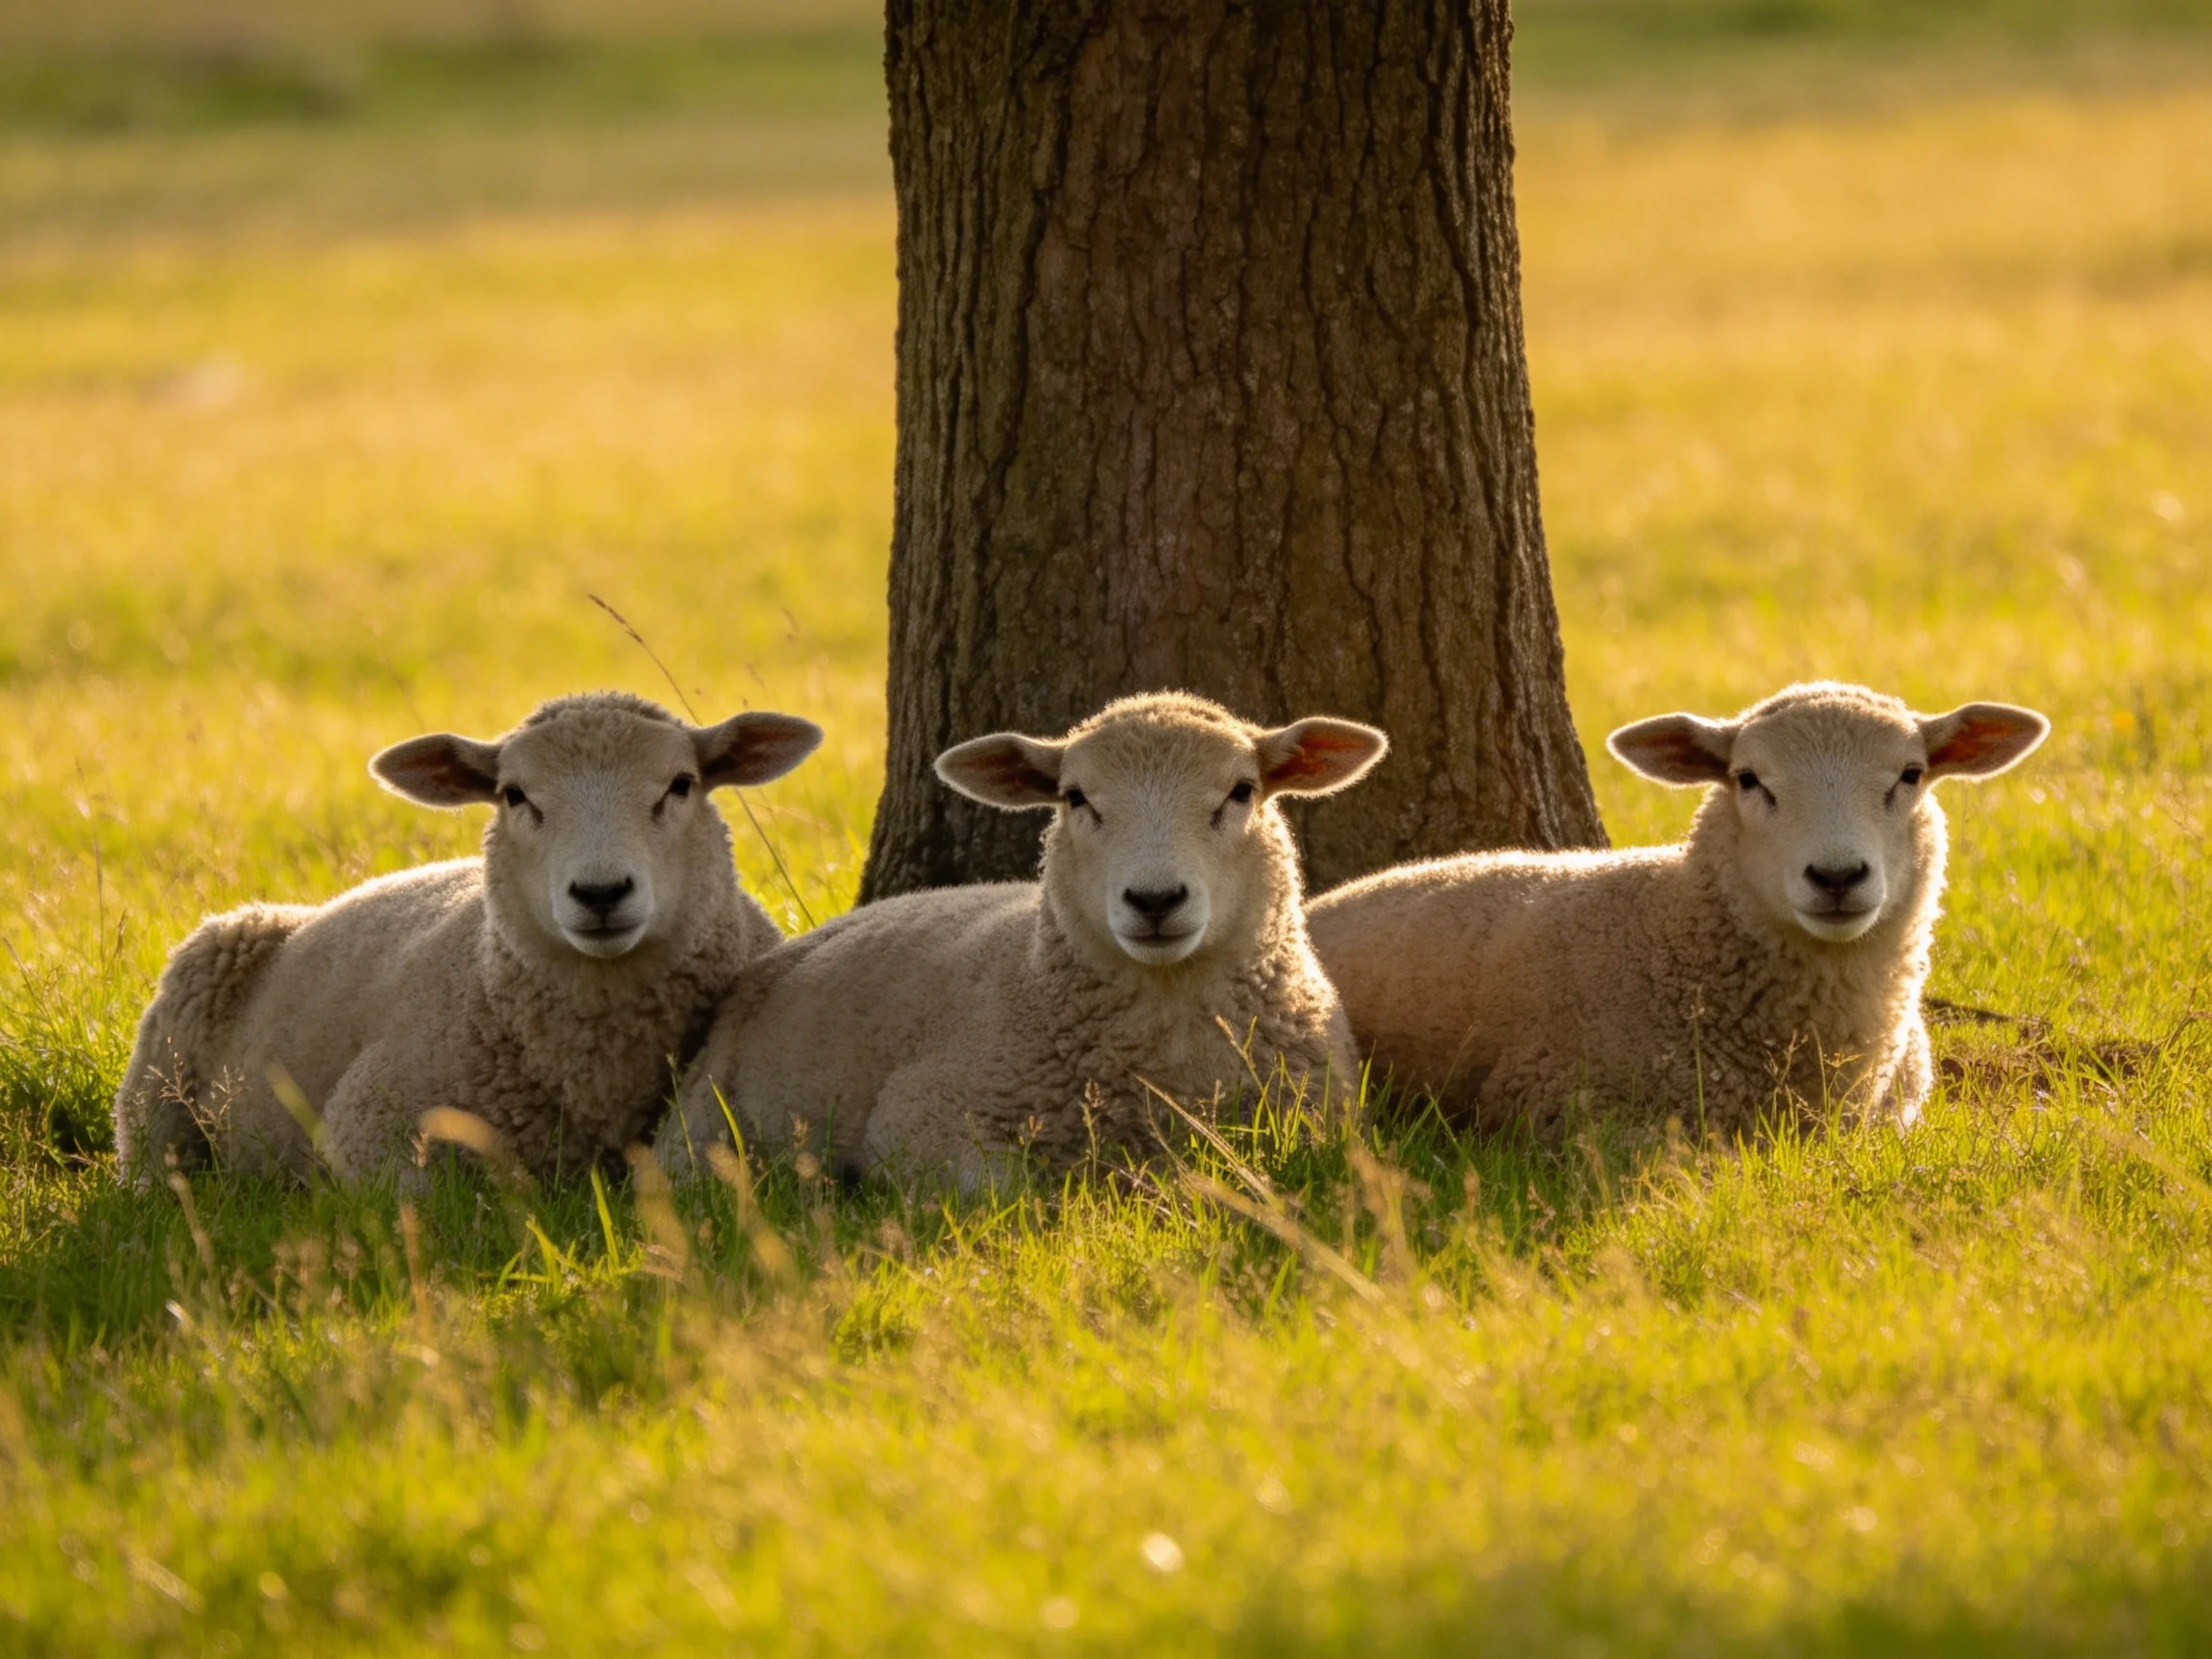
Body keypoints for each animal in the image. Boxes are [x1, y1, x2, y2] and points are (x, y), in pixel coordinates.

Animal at [660, 692, 1388, 1188]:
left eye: (1242, 791)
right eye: (1076, 798)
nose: (1155, 900)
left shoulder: (1323, 1123)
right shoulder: (919, 1115)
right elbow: (1010, 1195)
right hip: (703, 1121)